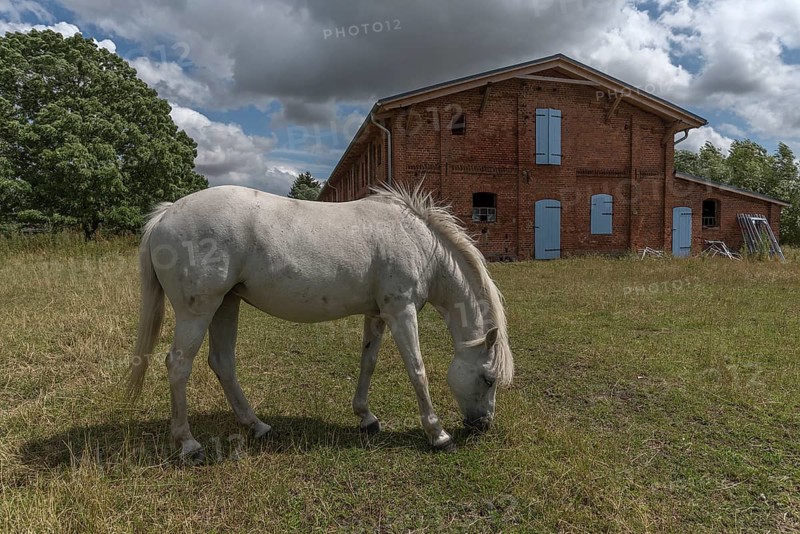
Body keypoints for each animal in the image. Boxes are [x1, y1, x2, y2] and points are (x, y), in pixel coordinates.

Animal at [125, 183, 513, 463]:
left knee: (222, 363)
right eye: (488, 378)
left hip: (226, 305)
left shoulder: (377, 314)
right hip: (199, 311)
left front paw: (366, 418)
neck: (416, 241)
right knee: (178, 365)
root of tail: (165, 216)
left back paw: (257, 425)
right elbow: (417, 371)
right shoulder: (401, 312)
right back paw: (189, 444)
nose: (483, 425)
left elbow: (368, 363)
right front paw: (438, 434)